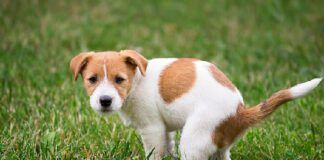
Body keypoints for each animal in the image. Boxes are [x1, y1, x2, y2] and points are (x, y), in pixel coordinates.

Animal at [69, 49, 320, 159]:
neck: (137, 80)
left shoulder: (151, 129)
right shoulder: (164, 130)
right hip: (218, 147)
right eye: (92, 79)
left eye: (119, 79)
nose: (105, 100)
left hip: (193, 140)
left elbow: (154, 153)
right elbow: (166, 147)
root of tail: (239, 112)